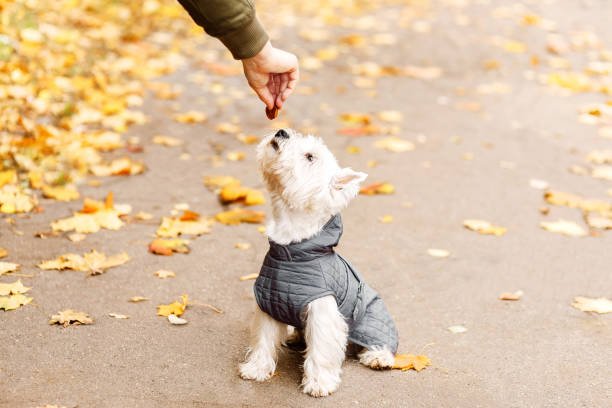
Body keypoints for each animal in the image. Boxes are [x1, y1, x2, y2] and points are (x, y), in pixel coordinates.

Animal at [239, 129, 396, 396]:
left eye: (310, 156)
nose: (281, 131)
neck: (291, 246)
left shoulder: (322, 311)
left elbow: (322, 349)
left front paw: (319, 383)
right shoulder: (269, 302)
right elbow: (264, 339)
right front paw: (256, 369)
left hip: (371, 316)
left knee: (379, 339)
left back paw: (378, 357)